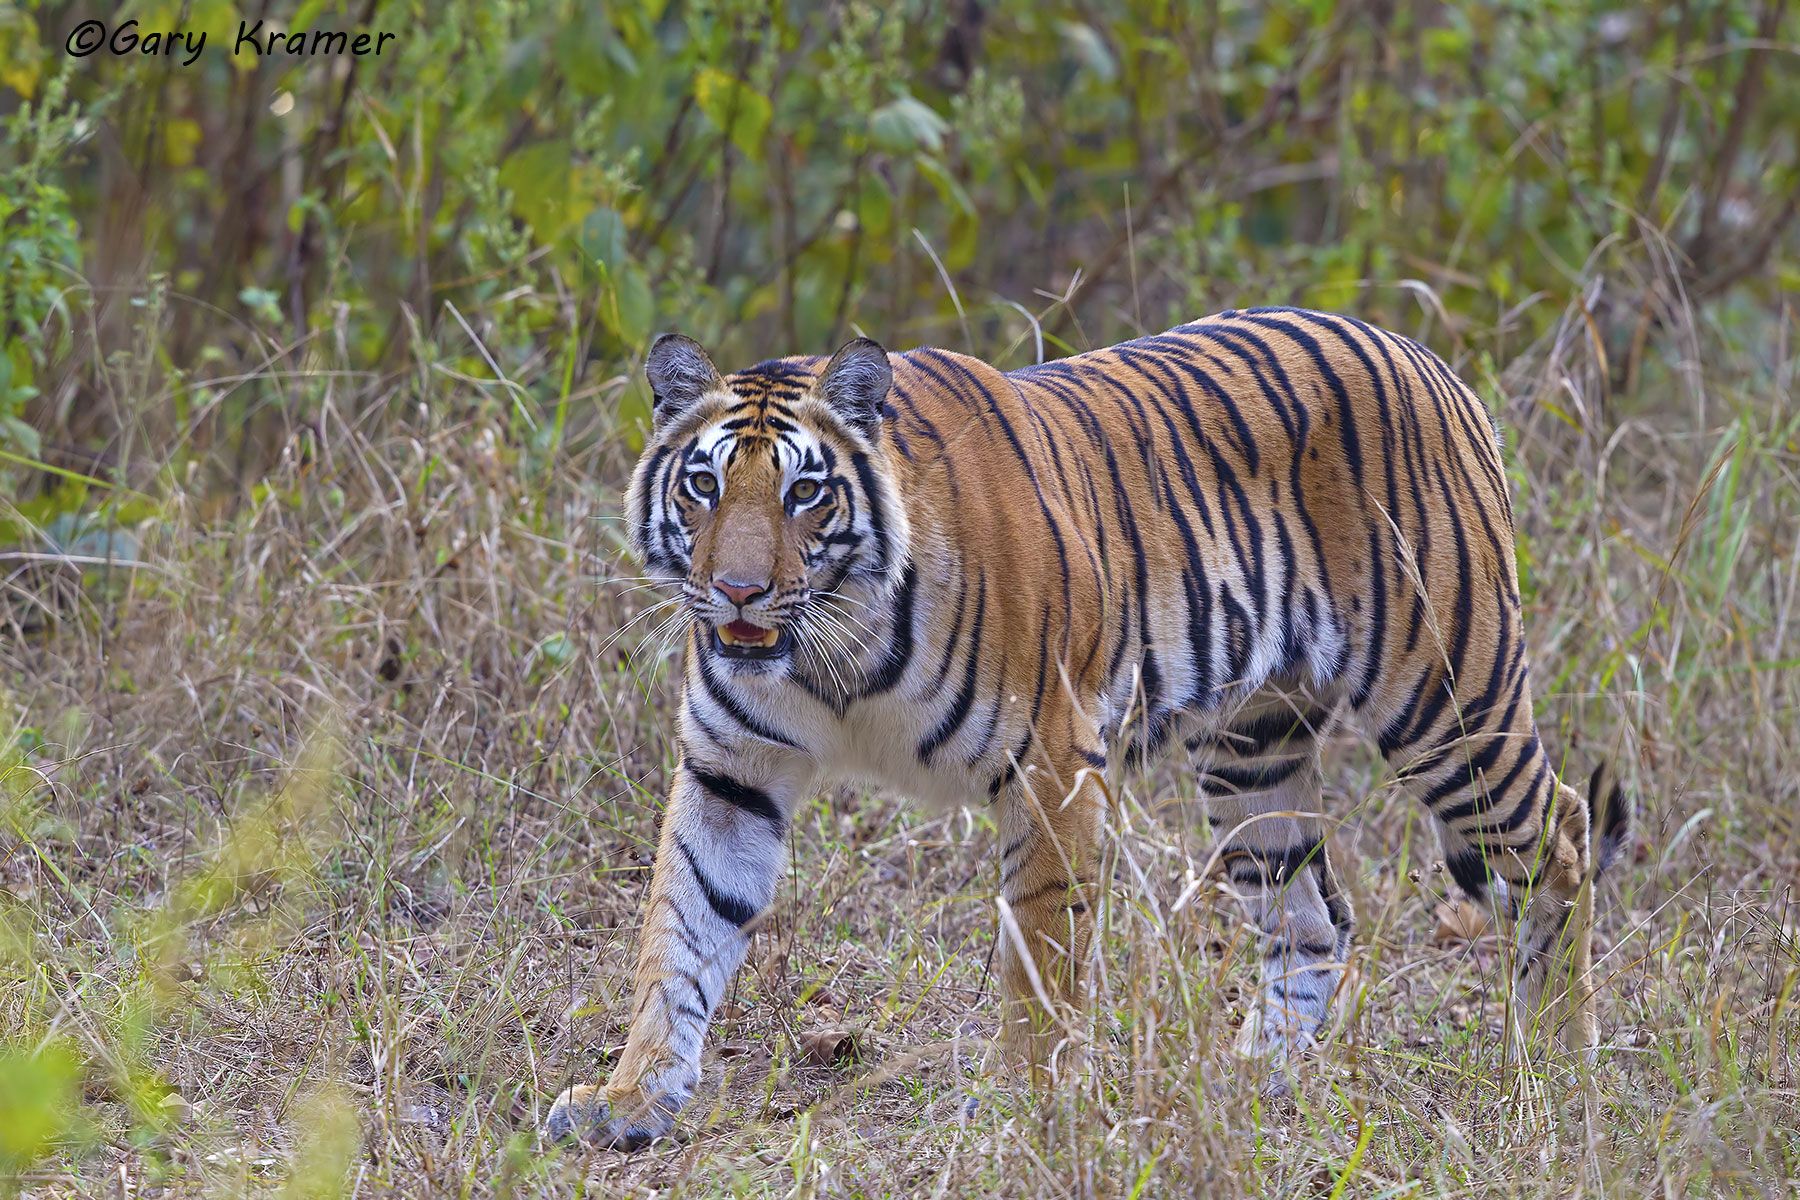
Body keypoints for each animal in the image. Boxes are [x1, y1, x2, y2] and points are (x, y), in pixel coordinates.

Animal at [544, 308, 1634, 1148]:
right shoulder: (731, 771)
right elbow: (680, 930)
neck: (830, 656)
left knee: (1563, 835)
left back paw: (1558, 1068)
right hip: (1255, 752)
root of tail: (1425, 355)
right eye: (703, 485)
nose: (737, 592)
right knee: (1313, 918)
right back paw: (1250, 1081)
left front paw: (1024, 1098)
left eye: (804, 491)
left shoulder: (1054, 762)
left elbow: (1039, 948)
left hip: (1447, 699)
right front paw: (631, 1096)